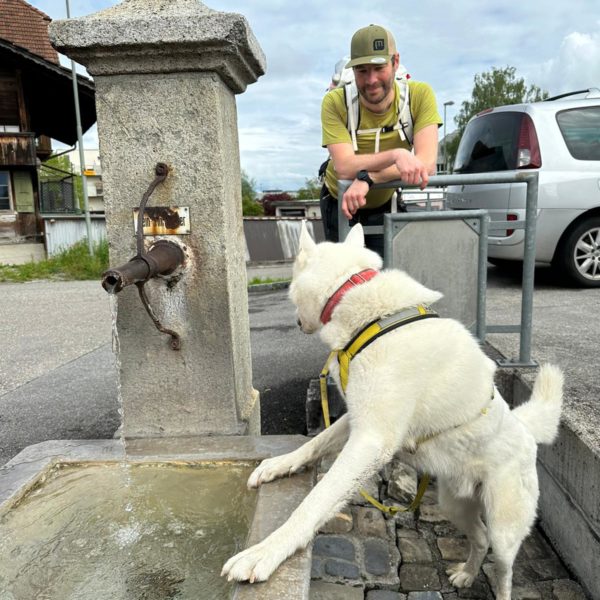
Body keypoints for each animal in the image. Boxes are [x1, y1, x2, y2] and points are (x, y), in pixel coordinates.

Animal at [223, 221, 564, 600]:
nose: (298, 322)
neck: (362, 301)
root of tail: (525, 429)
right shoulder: (358, 419)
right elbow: (315, 443)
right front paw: (278, 465)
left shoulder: (371, 441)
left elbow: (314, 502)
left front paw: (265, 551)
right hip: (454, 504)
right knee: (480, 538)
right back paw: (466, 574)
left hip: (506, 526)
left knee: (503, 565)